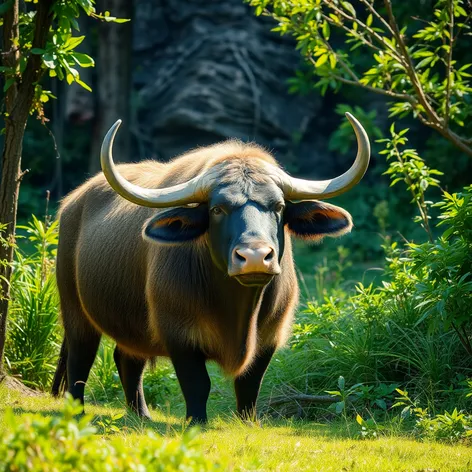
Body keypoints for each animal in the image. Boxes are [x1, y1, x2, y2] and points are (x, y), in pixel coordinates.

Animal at [51, 112, 368, 422]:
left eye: (278, 206)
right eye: (217, 209)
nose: (254, 257)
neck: (237, 311)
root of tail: (72, 203)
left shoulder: (270, 336)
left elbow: (250, 383)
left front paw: (246, 421)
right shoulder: (178, 334)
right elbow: (197, 383)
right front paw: (196, 421)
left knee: (127, 358)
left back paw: (141, 415)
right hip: (75, 310)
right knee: (80, 360)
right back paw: (78, 413)